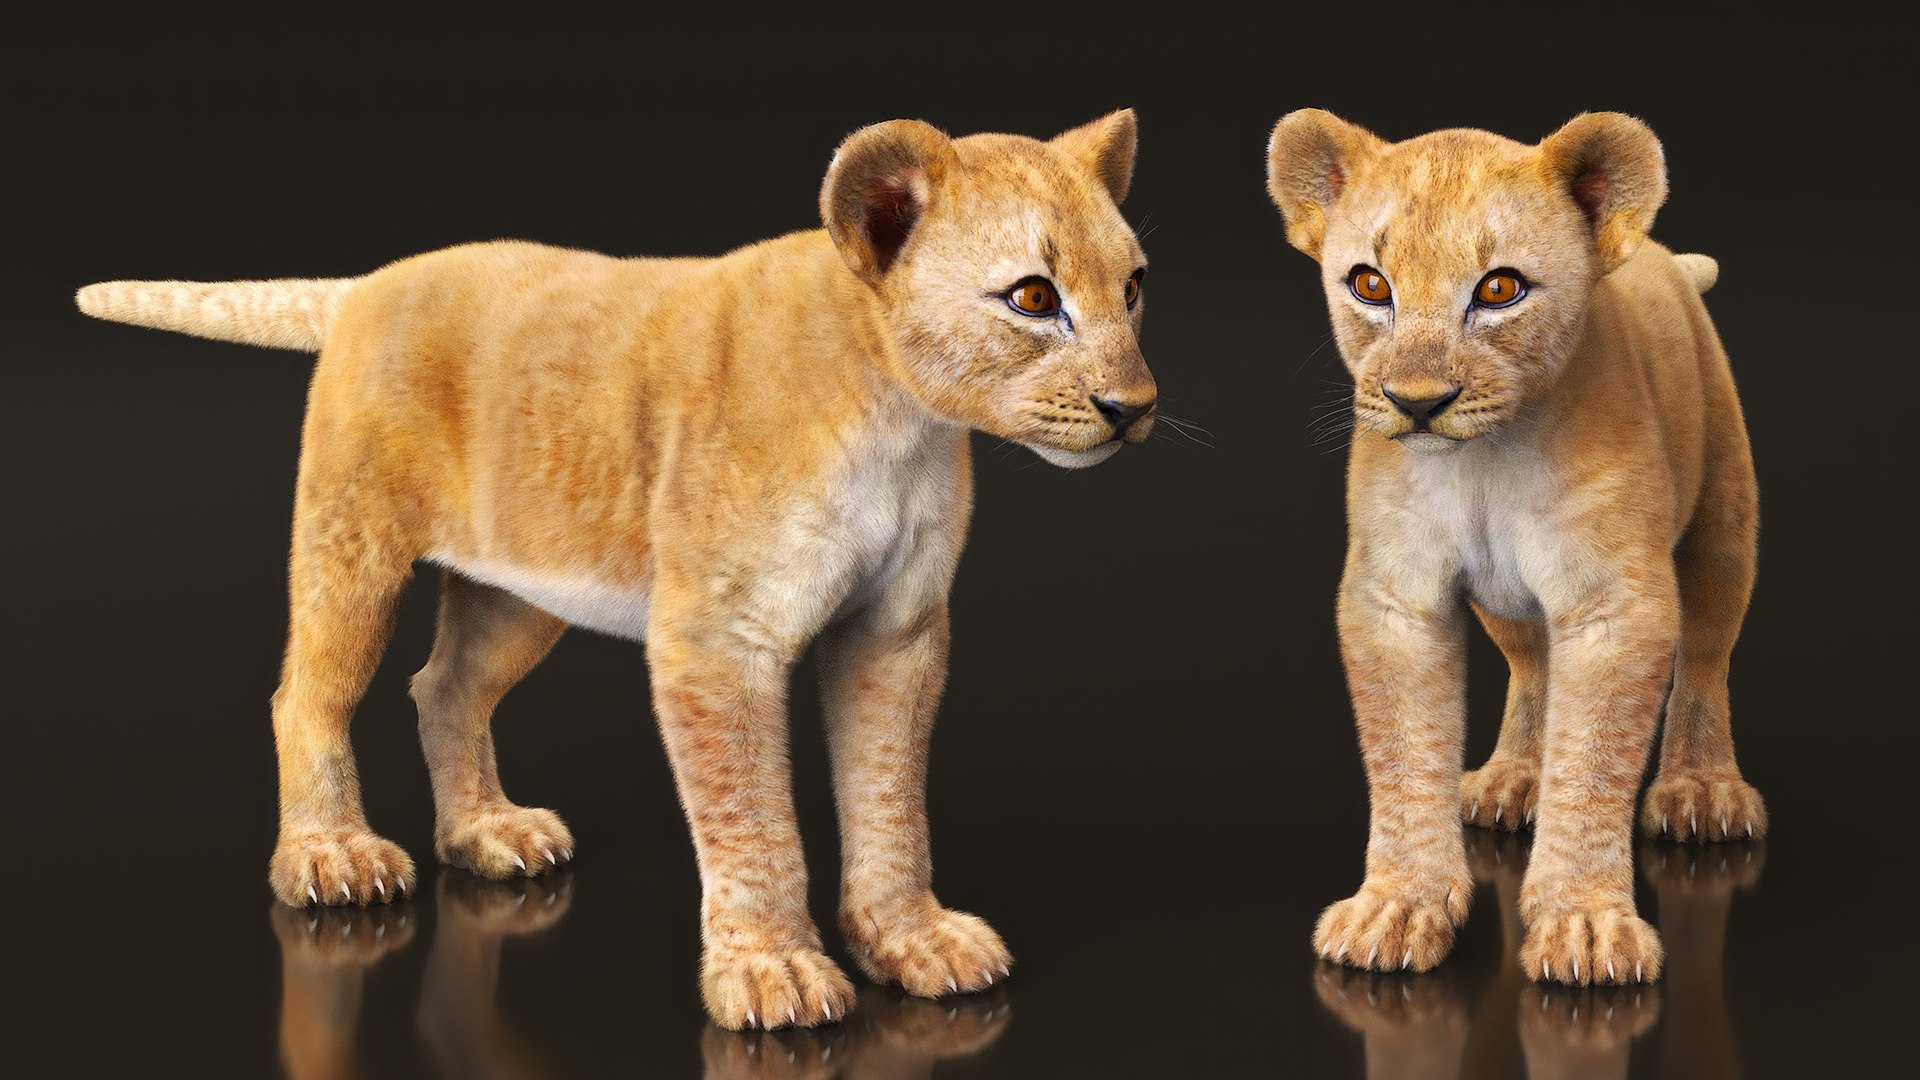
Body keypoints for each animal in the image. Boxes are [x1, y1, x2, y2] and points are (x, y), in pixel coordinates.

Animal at [76, 110, 1156, 1028]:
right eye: (1034, 297)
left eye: (1135, 286)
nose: (1135, 407)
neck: (899, 417)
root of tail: (373, 280)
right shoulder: (715, 641)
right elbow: (751, 813)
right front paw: (771, 968)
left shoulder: (897, 629)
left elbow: (890, 793)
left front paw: (911, 939)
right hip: (354, 539)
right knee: (307, 694)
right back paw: (329, 855)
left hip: (520, 585)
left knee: (445, 687)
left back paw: (488, 834)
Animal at [1265, 109, 1764, 986]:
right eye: (1370, 284)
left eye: (1499, 289)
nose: (1417, 403)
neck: (1484, 462)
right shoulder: (1394, 600)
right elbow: (1404, 755)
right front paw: (1397, 908)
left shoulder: (1613, 604)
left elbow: (1594, 763)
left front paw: (1586, 927)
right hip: (1509, 602)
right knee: (1533, 669)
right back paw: (1515, 778)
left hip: (1723, 529)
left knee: (1706, 658)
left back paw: (1701, 789)